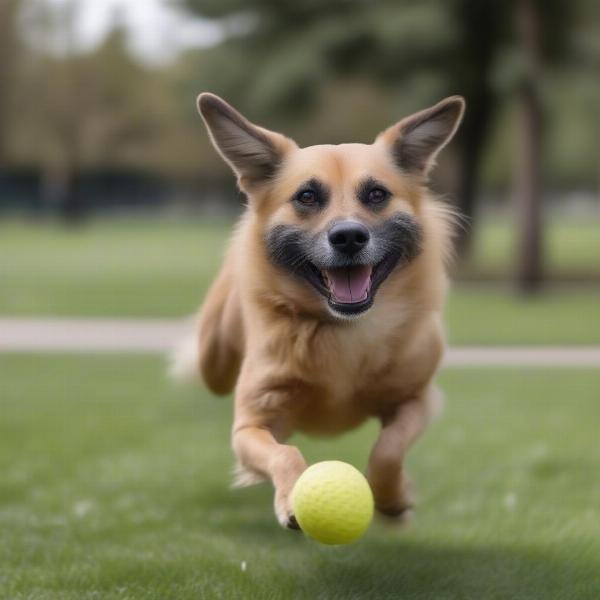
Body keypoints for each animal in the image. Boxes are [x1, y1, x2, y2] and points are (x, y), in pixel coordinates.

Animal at [180, 91, 466, 528]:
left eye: (377, 194)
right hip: (215, 357)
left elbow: (388, 448)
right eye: (307, 196)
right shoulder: (251, 425)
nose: (348, 236)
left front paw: (394, 499)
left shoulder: (419, 399)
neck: (344, 329)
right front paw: (292, 498)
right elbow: (284, 453)